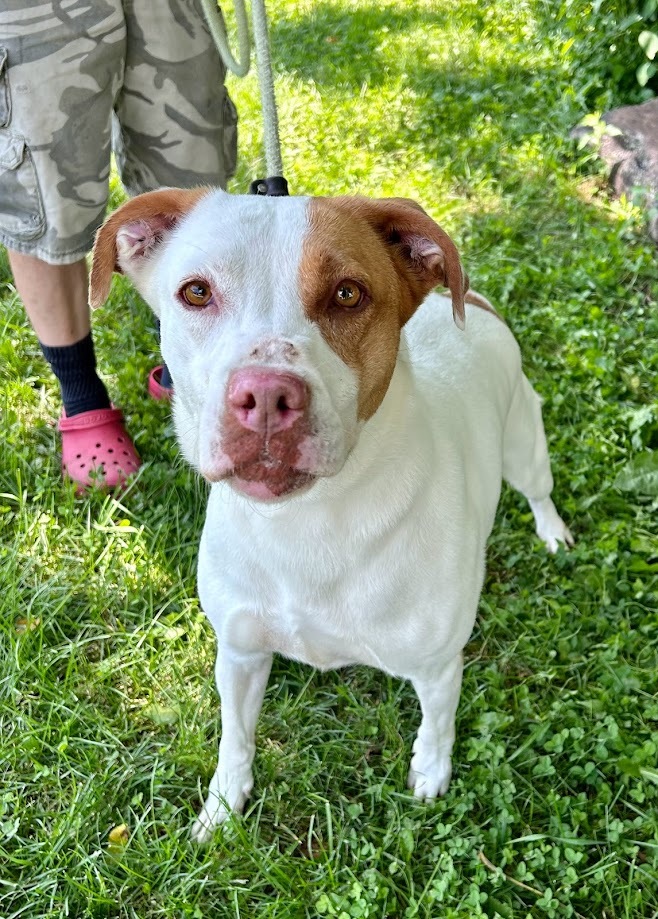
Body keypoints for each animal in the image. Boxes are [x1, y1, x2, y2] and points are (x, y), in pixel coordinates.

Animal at [89, 190, 572, 844]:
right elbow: (235, 740)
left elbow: (437, 727)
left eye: (347, 293)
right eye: (195, 292)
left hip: (525, 444)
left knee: (539, 491)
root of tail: (471, 302)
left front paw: (430, 773)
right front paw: (222, 807)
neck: (307, 522)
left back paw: (553, 533)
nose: (267, 396)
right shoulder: (239, 654)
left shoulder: (438, 666)